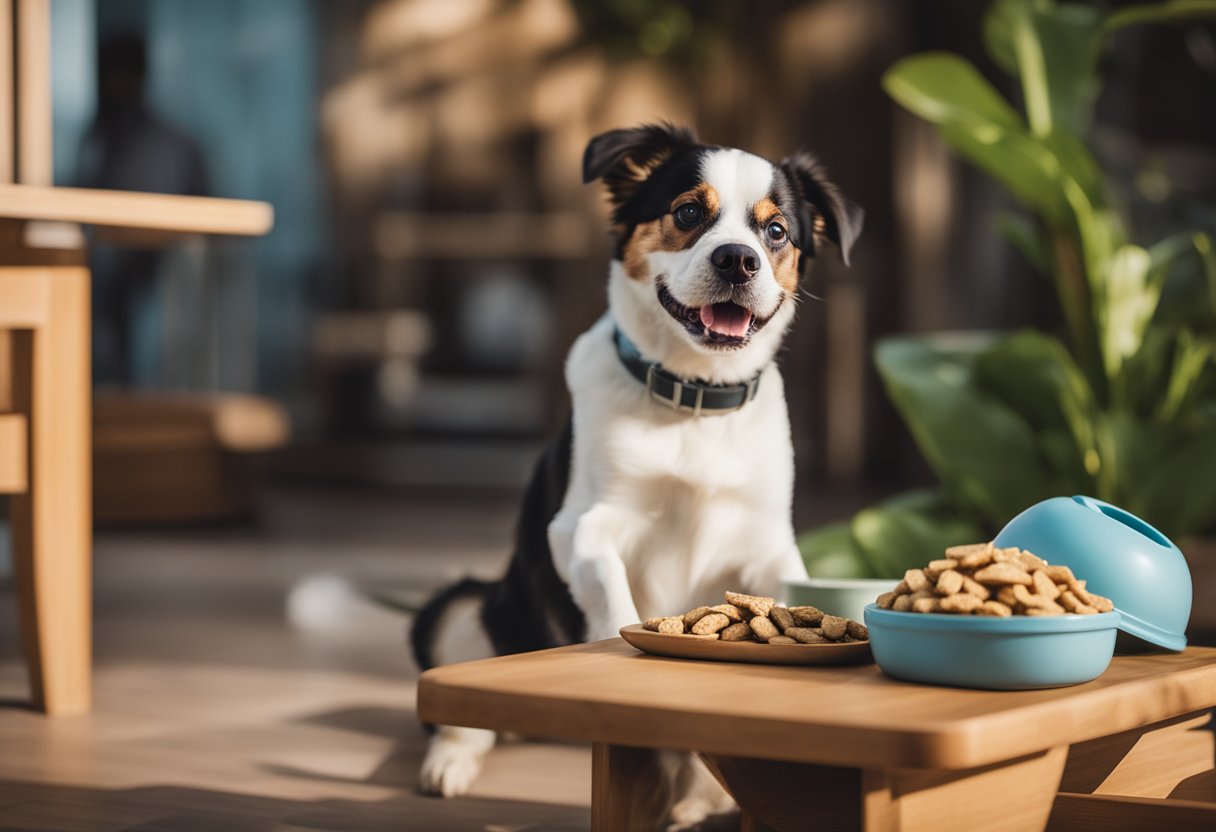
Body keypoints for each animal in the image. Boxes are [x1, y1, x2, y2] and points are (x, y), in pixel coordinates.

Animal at [413, 123, 860, 827]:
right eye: (688, 212)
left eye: (777, 231)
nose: (738, 260)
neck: (694, 401)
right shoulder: (580, 526)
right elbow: (609, 588)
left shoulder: (767, 546)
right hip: (466, 608)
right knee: (462, 714)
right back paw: (450, 763)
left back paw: (696, 799)